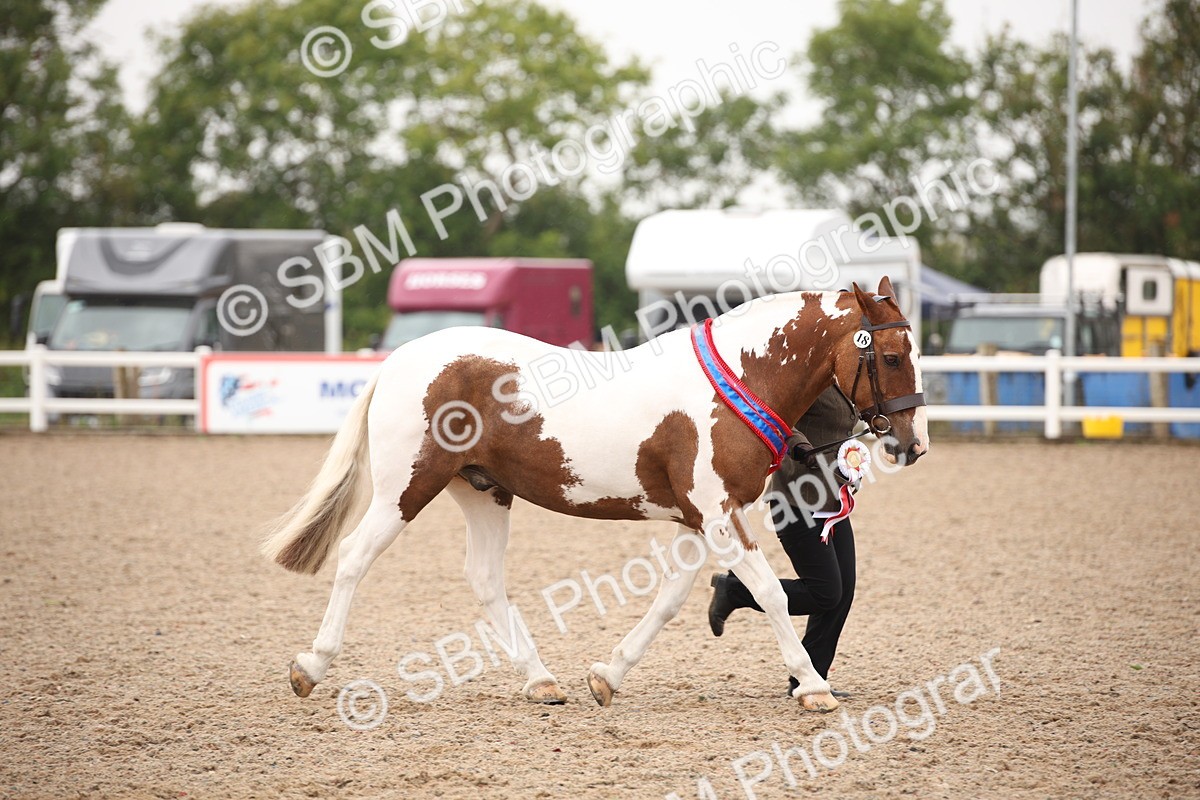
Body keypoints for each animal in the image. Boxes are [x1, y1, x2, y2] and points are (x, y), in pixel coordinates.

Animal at [262, 277, 928, 713]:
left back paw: (541, 681)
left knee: (484, 578)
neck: (739, 380)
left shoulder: (697, 521)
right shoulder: (717, 514)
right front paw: (813, 687)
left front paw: (608, 675)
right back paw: (310, 667)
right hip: (406, 487)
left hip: (483, 492)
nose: (913, 443)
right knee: (354, 556)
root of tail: (400, 359)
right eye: (893, 355)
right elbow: (767, 590)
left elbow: (671, 600)